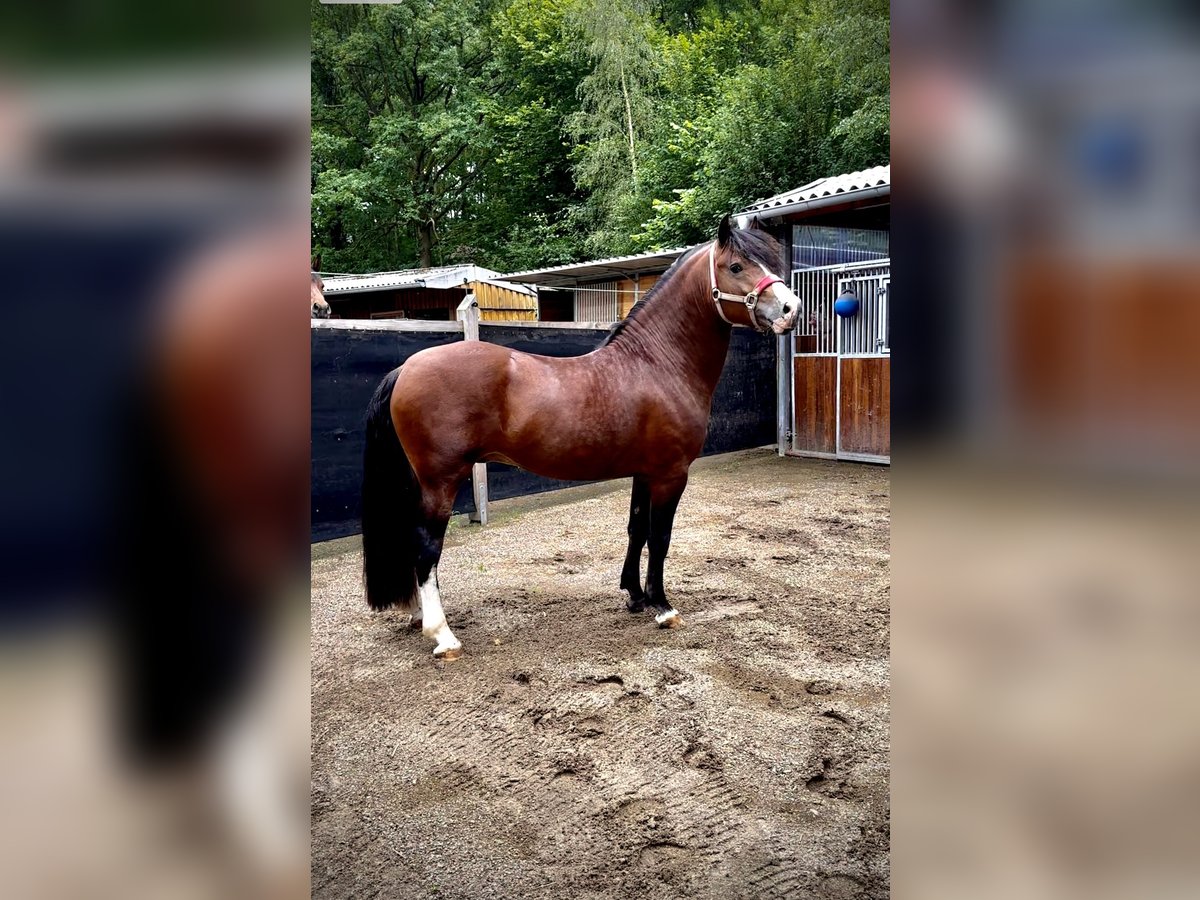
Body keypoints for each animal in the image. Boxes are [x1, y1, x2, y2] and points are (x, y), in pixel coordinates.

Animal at [360, 214, 801, 657]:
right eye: (736, 267)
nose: (791, 308)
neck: (657, 364)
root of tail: (406, 368)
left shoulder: (644, 472)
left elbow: (636, 529)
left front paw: (635, 596)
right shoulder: (671, 474)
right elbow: (660, 536)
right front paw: (662, 607)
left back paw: (418, 616)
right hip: (442, 481)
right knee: (426, 548)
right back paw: (442, 634)